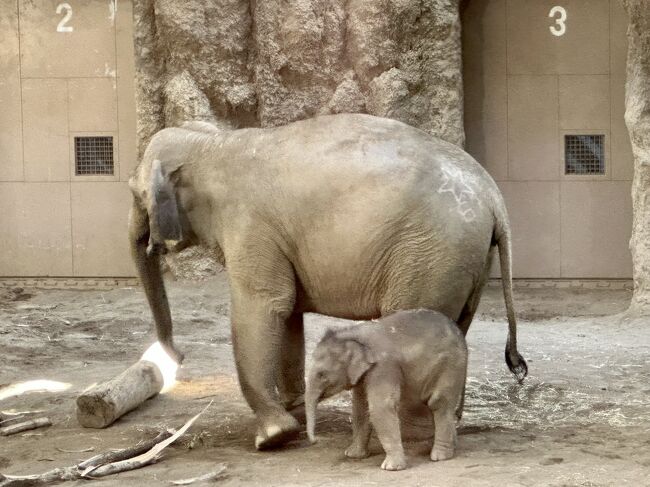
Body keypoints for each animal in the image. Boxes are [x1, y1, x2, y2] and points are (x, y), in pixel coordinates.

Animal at [128, 113, 528, 450]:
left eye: (135, 193)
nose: (174, 357)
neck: (213, 144)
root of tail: (494, 196)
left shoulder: (250, 226)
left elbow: (263, 305)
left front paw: (273, 437)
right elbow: (287, 314)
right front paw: (292, 408)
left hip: (431, 255)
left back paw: (411, 430)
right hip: (466, 260)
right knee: (457, 327)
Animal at [304, 310, 466, 470]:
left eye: (321, 375)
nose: (315, 441)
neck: (353, 335)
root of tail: (460, 334)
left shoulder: (383, 366)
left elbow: (380, 407)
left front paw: (391, 467)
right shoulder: (364, 373)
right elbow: (360, 408)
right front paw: (352, 455)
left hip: (451, 366)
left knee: (438, 402)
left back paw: (440, 456)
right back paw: (453, 447)